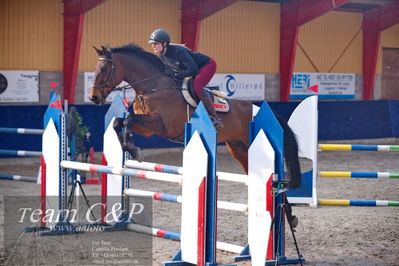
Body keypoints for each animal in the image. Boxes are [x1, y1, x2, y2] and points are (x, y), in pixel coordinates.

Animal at [89, 44, 302, 189]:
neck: (153, 86)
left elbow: (129, 119)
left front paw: (134, 151)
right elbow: (120, 121)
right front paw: (130, 147)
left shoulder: (163, 126)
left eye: (104, 69)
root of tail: (261, 109)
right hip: (238, 147)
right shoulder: (148, 128)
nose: (93, 98)